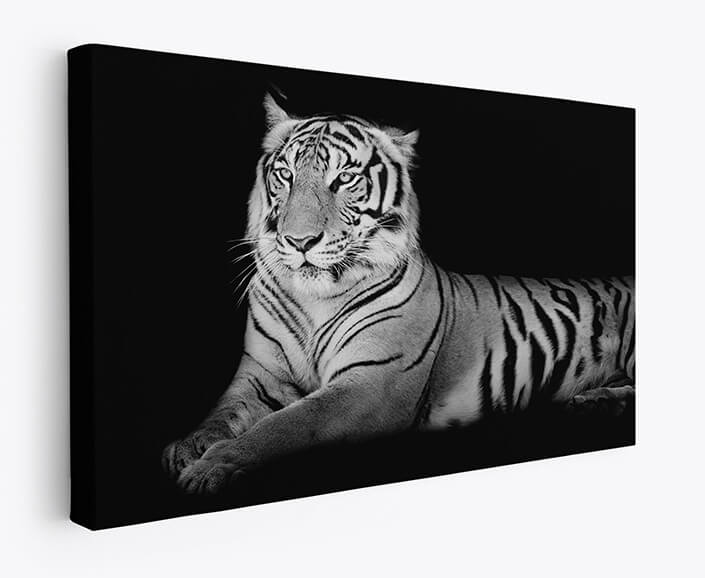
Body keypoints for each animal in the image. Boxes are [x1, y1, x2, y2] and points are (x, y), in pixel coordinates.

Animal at [163, 93, 635, 495]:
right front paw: (188, 446)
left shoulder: (372, 383)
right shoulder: (261, 374)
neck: (315, 299)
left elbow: (288, 424)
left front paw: (213, 465)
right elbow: (222, 413)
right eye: (286, 175)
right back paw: (593, 402)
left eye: (344, 179)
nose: (299, 241)